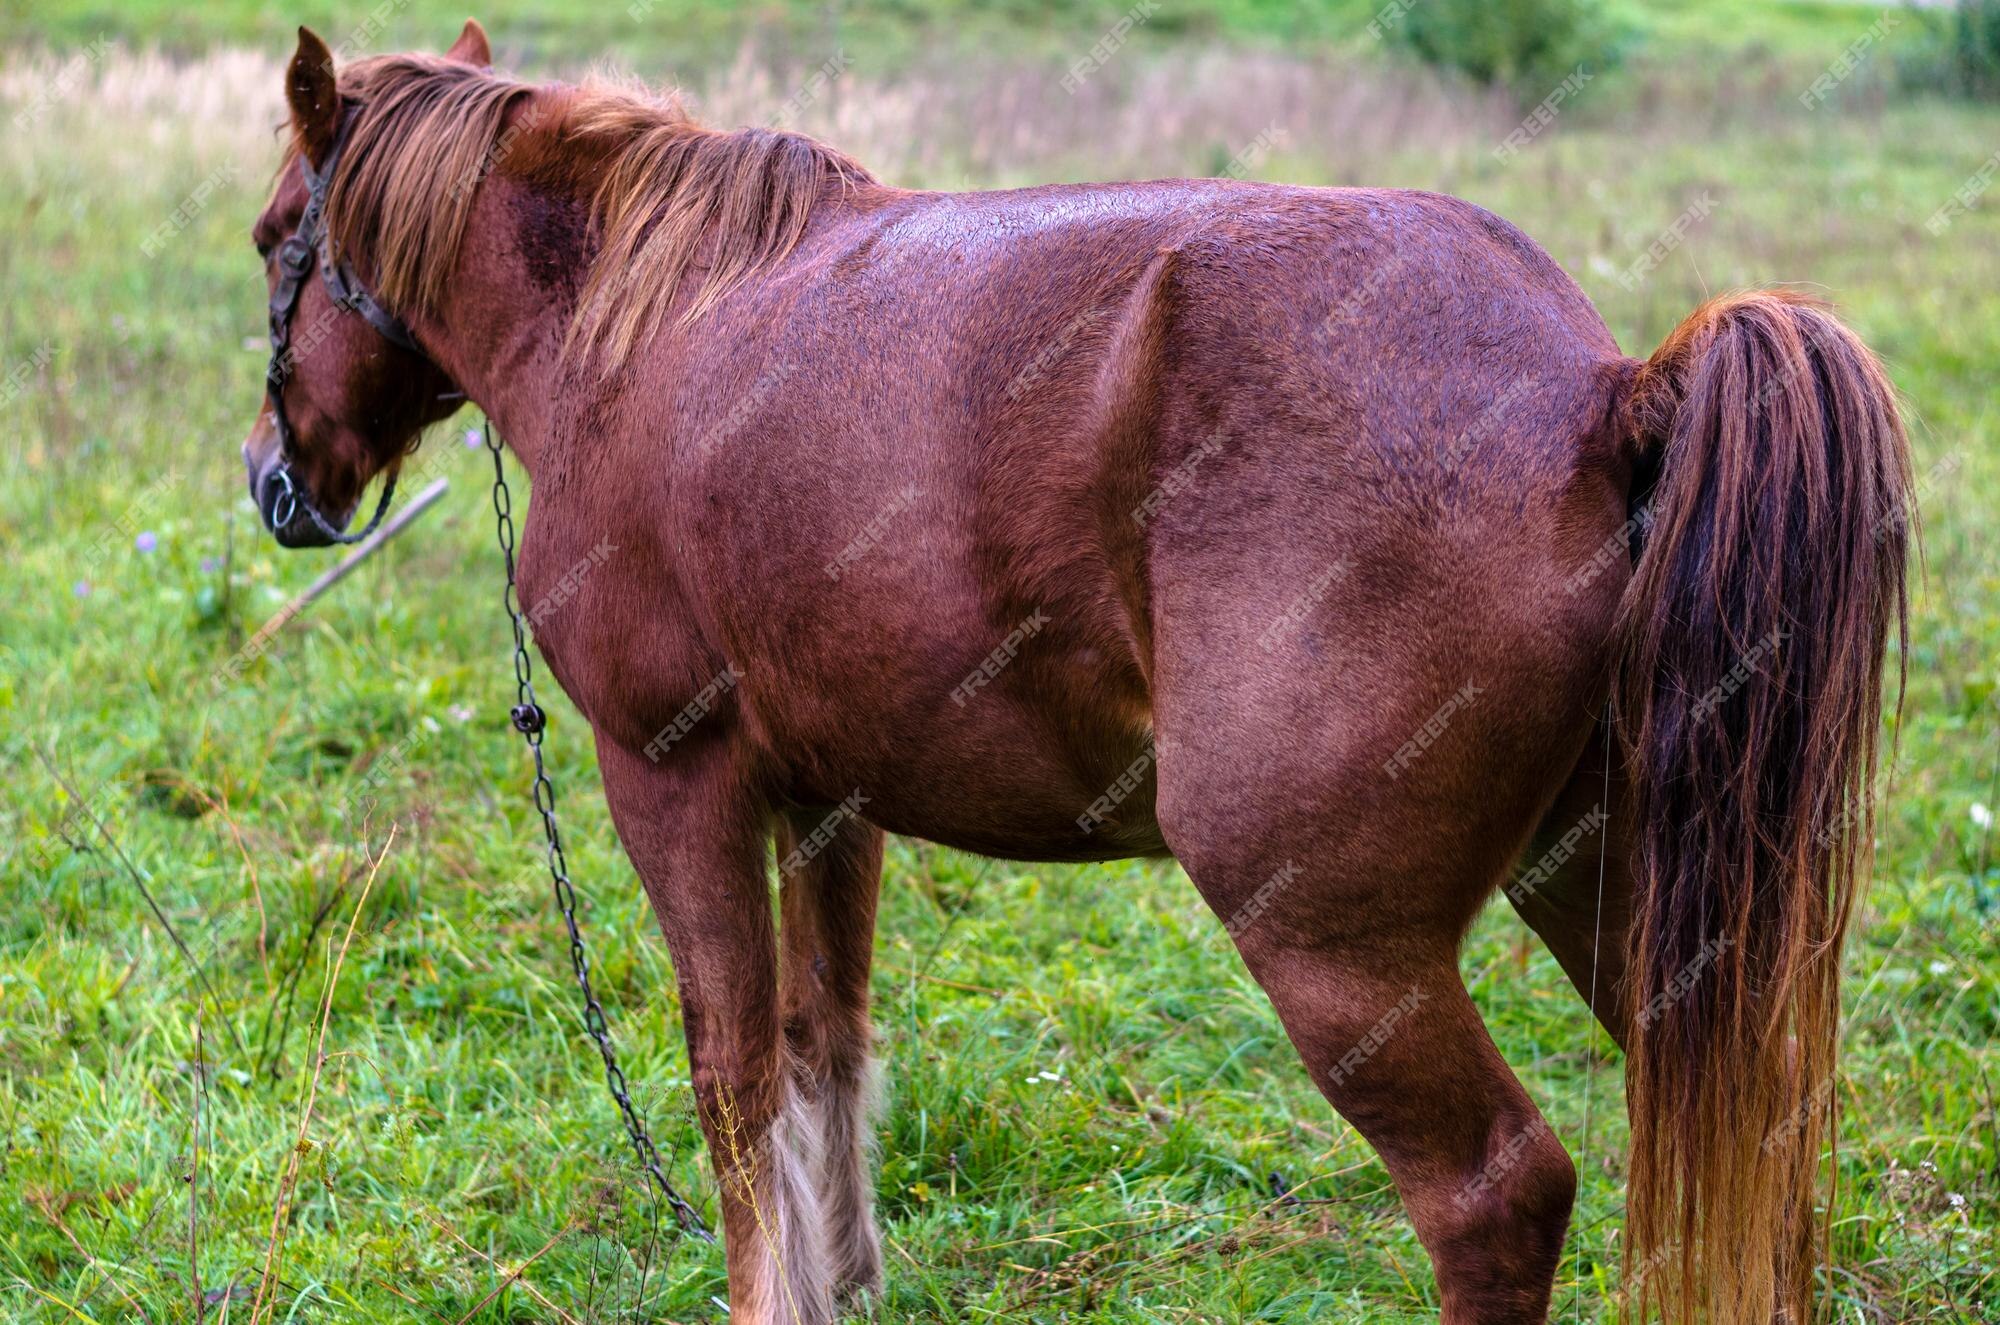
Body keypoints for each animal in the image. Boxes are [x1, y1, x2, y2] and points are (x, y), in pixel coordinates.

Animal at [242, 23, 1912, 1325]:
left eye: (275, 245)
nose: (276, 485)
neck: (644, 327)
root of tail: (1602, 392)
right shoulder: (830, 798)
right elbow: (824, 1049)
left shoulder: (676, 778)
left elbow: (733, 1078)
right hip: (1623, 883)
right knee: (1742, 1106)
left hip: (1337, 947)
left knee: (1497, 1195)